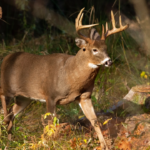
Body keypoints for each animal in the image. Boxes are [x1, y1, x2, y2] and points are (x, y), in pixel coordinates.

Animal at [0, 7, 128, 149]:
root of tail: (5, 59)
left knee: (11, 114)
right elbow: (51, 124)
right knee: (4, 104)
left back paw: (8, 142)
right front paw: (50, 144)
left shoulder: (85, 96)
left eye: (105, 48)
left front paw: (104, 145)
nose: (109, 61)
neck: (70, 76)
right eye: (94, 49)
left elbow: (94, 120)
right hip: (7, 88)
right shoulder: (50, 95)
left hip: (24, 98)